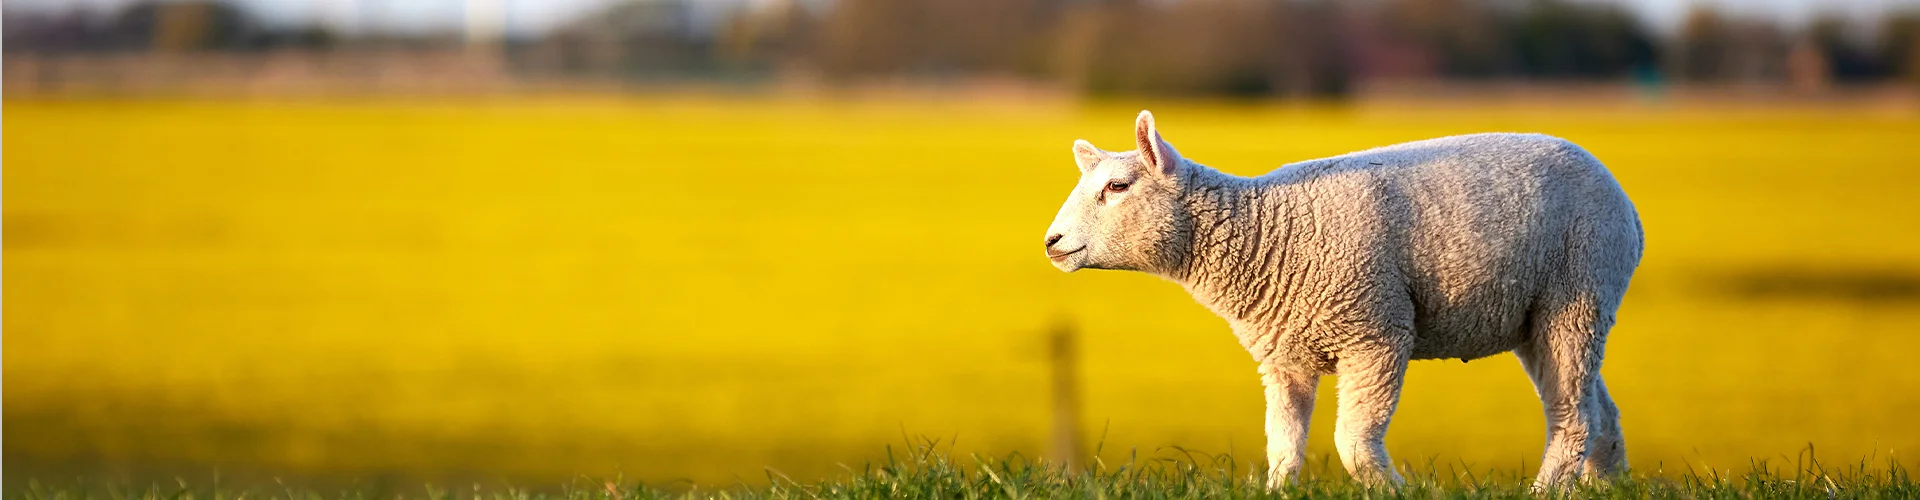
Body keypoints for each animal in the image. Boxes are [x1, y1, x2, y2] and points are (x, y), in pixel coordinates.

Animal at [1042, 111, 1642, 489]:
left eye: (1118, 187)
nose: (1051, 243)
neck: (1265, 234)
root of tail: (1628, 208)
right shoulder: (1283, 359)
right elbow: (1283, 448)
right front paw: (1279, 489)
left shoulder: (1376, 334)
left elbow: (1353, 442)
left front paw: (1398, 489)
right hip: (1544, 316)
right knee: (1599, 412)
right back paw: (1608, 484)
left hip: (1579, 293)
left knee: (1574, 417)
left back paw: (1549, 488)